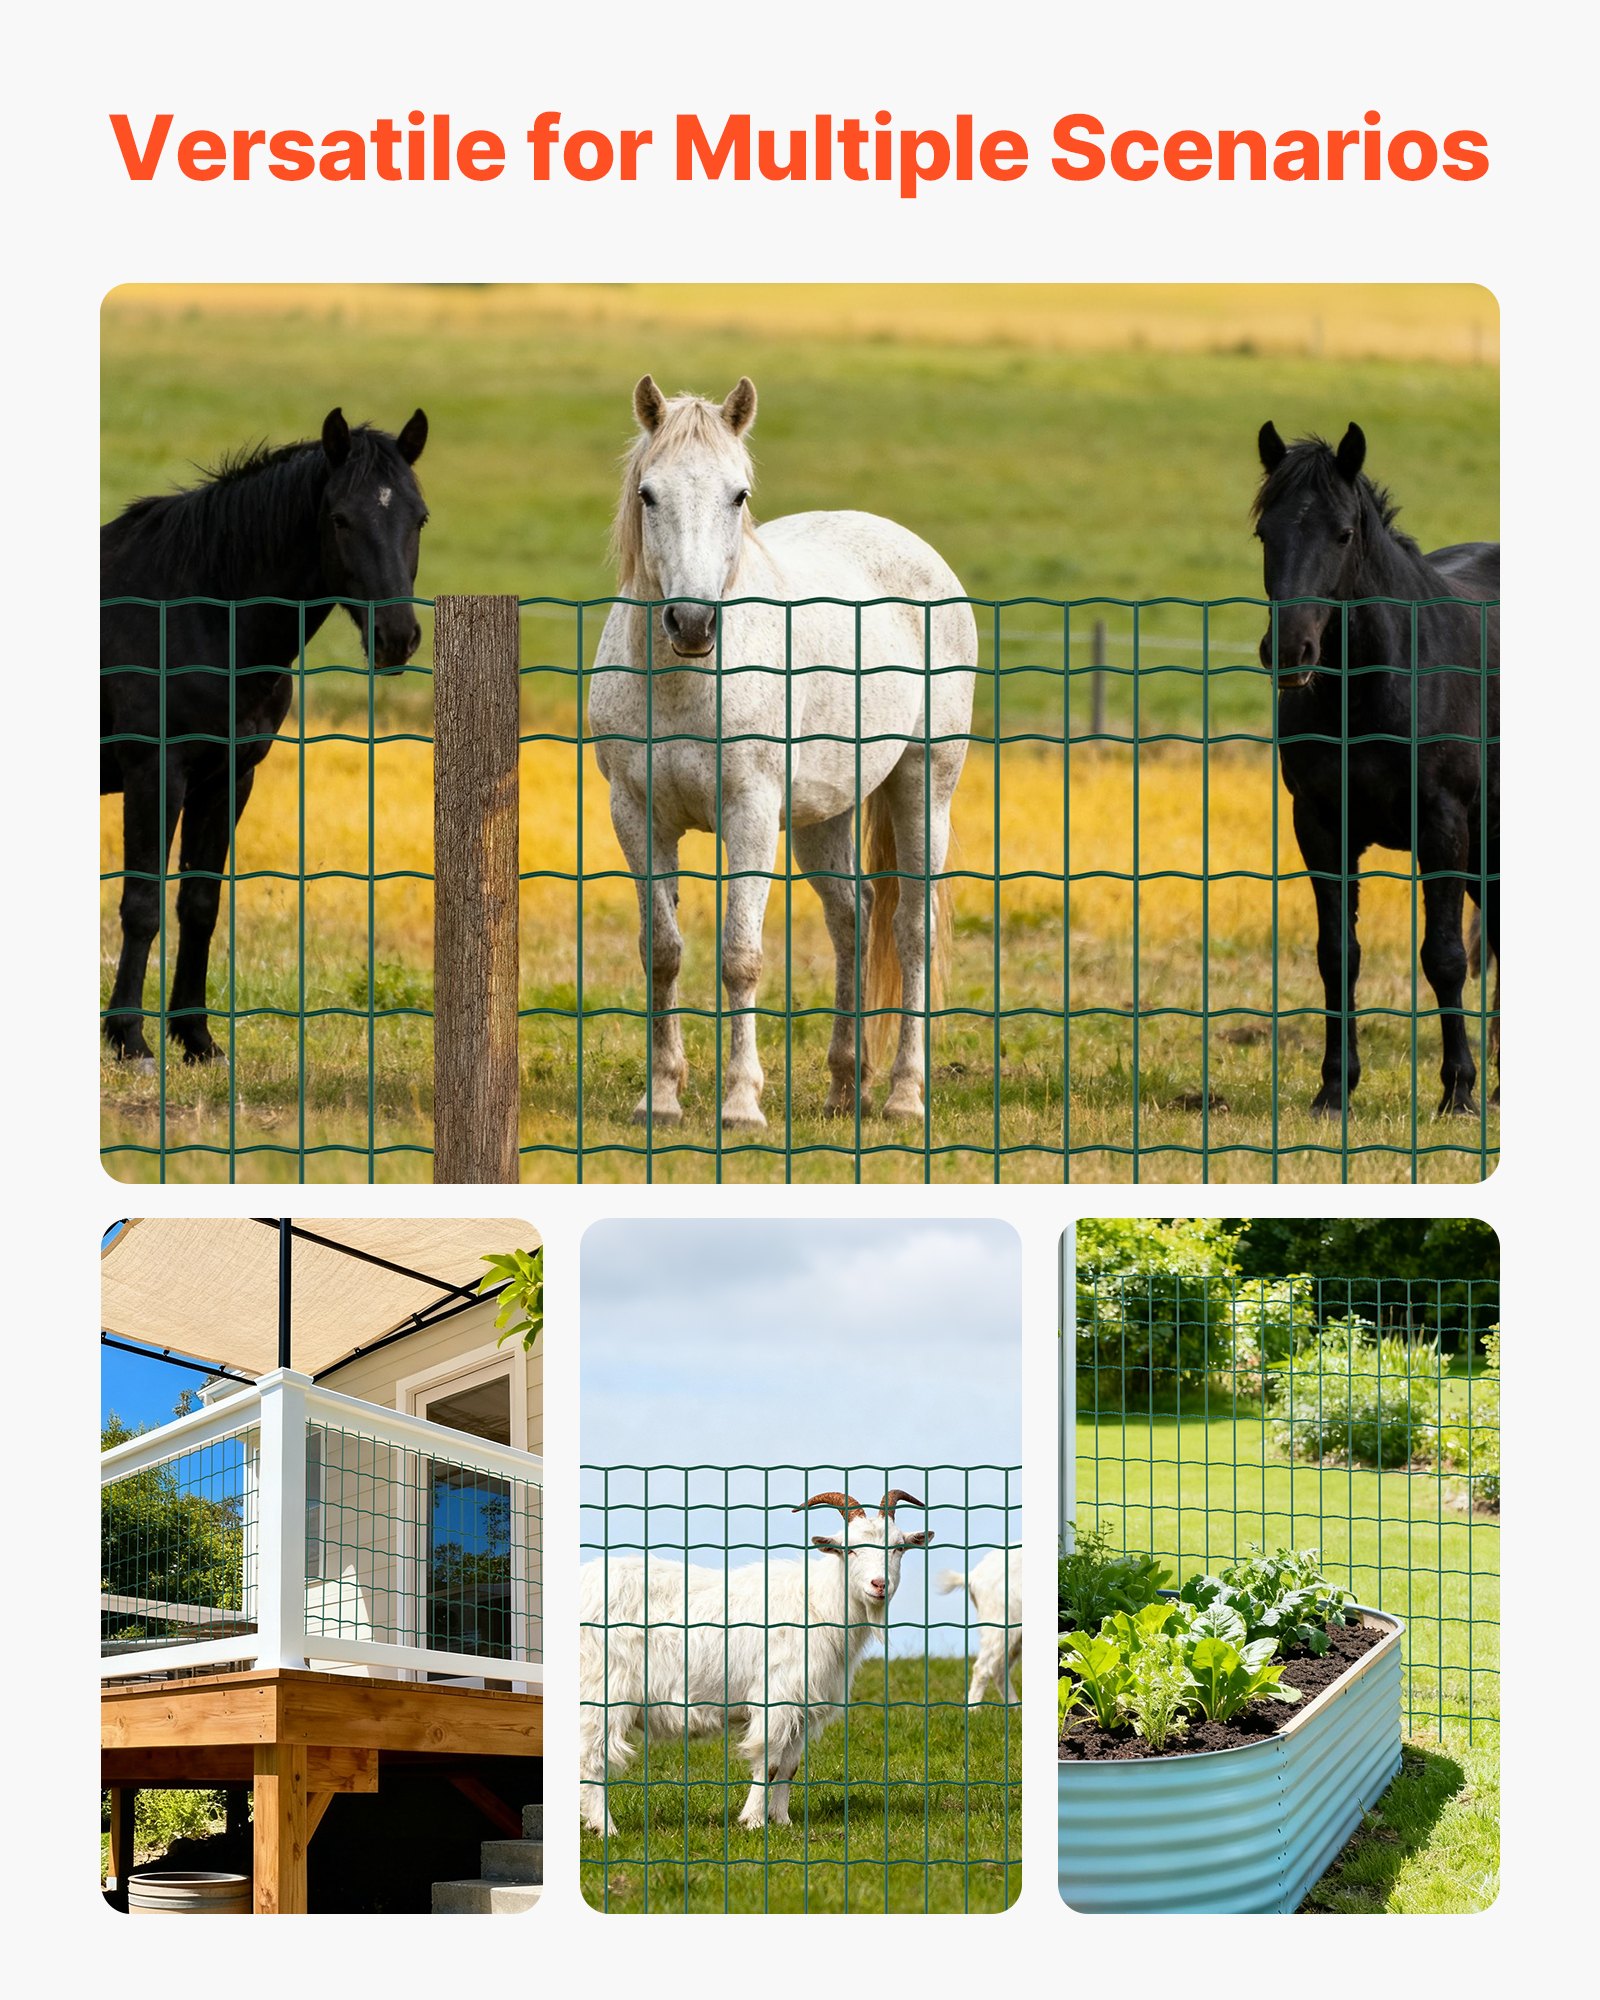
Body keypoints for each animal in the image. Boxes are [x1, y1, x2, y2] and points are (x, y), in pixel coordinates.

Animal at [578, 1490, 933, 1835]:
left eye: (899, 1547)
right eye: (850, 1550)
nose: (879, 1585)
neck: (816, 1604)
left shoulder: (802, 1707)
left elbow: (790, 1766)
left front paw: (782, 1820)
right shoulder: (777, 1696)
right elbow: (769, 1762)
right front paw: (753, 1821)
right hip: (603, 1689)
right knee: (593, 1756)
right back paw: (604, 1828)